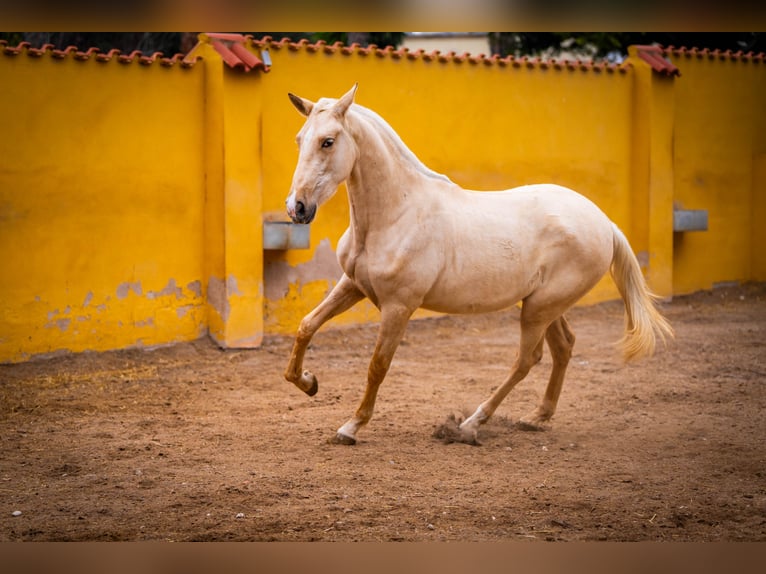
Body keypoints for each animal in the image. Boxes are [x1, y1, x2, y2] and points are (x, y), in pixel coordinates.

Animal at [282, 83, 672, 448]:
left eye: (328, 142)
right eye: (299, 139)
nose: (297, 207)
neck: (397, 212)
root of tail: (605, 223)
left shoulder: (399, 306)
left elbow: (377, 365)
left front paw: (350, 427)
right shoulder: (353, 285)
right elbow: (306, 326)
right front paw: (309, 382)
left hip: (539, 309)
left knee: (526, 360)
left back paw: (471, 425)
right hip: (544, 305)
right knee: (563, 347)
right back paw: (537, 417)